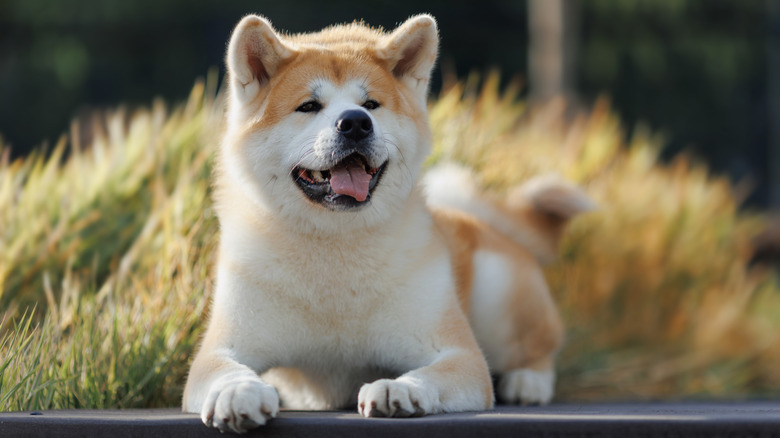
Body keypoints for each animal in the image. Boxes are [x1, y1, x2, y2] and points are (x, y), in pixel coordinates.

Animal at [184, 12, 592, 432]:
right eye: (309, 106)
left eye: (371, 105)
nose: (355, 122)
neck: (336, 253)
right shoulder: (222, 348)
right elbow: (226, 371)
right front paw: (237, 393)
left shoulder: (457, 353)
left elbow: (429, 374)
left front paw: (399, 389)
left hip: (499, 297)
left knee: (539, 349)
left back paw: (528, 381)